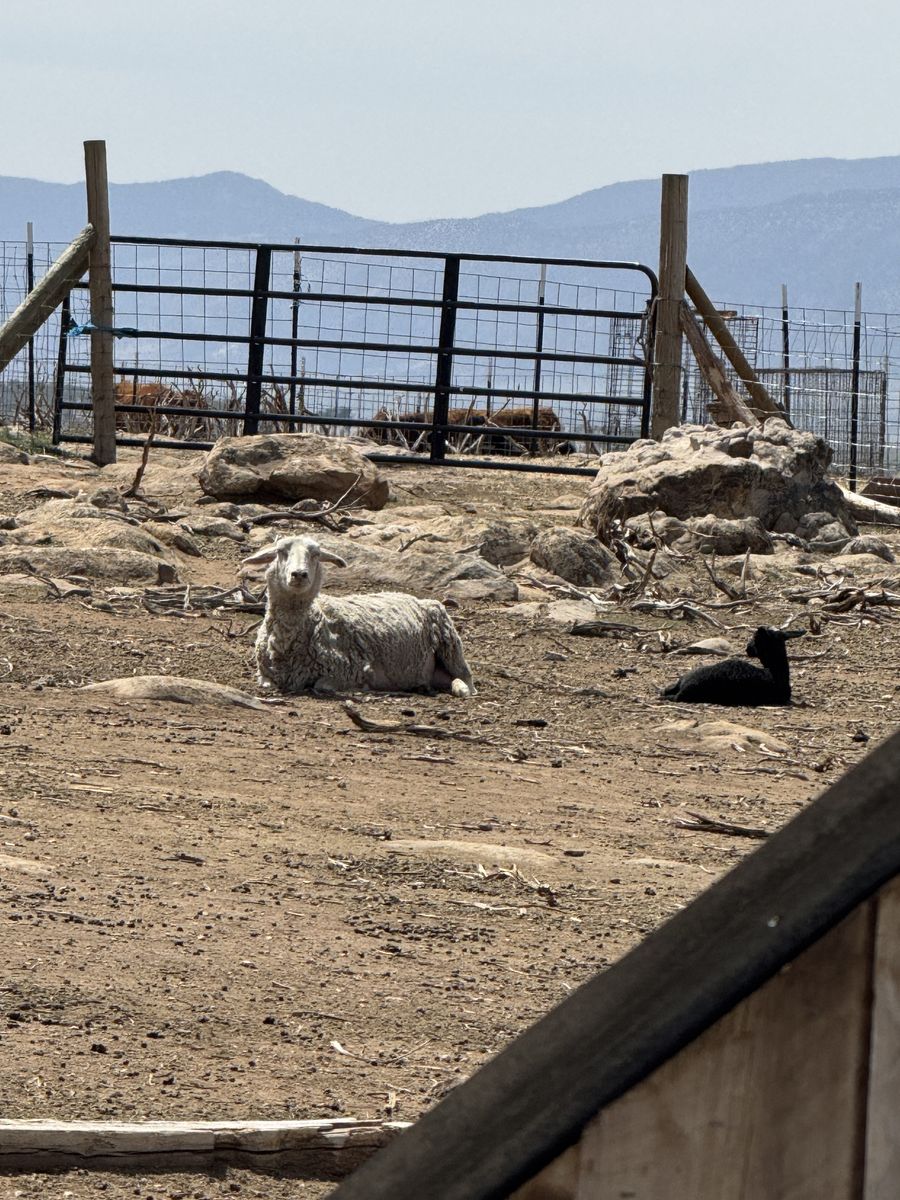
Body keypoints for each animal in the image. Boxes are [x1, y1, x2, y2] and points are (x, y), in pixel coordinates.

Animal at [241, 534, 475, 698]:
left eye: (315, 554)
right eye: (281, 551)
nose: (299, 574)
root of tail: (409, 595)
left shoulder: (346, 670)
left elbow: (322, 685)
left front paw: (362, 687)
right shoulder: (265, 675)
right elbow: (266, 683)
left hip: (451, 645)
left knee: (466, 678)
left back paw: (461, 688)